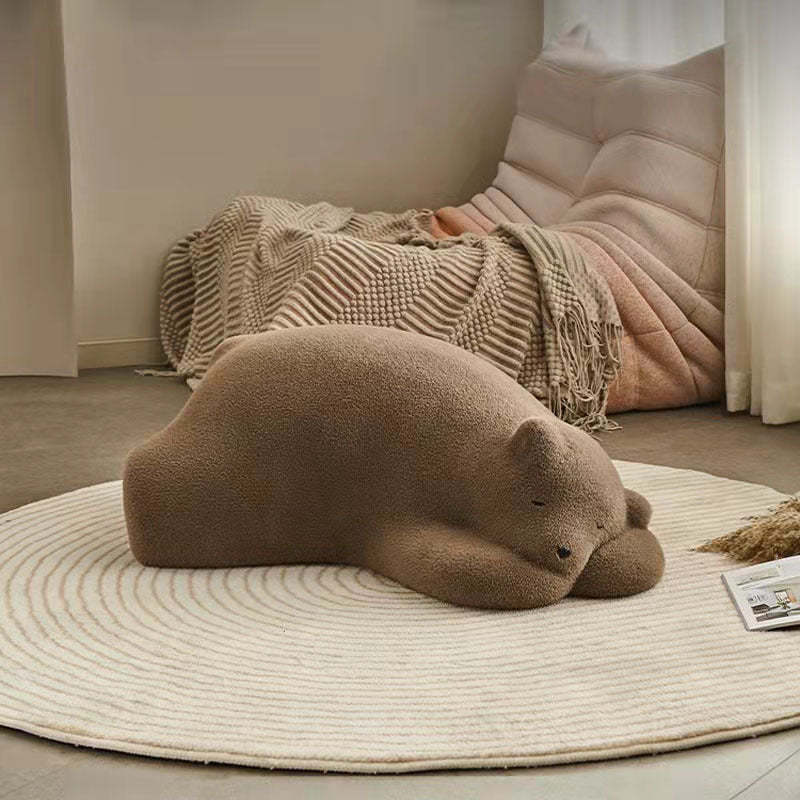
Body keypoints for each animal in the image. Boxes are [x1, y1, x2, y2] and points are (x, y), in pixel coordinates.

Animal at [123, 325, 664, 609]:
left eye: (599, 524)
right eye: (538, 500)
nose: (565, 552)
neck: (482, 461)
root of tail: (228, 353)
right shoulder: (406, 495)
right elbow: (450, 564)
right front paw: (540, 578)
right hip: (230, 461)